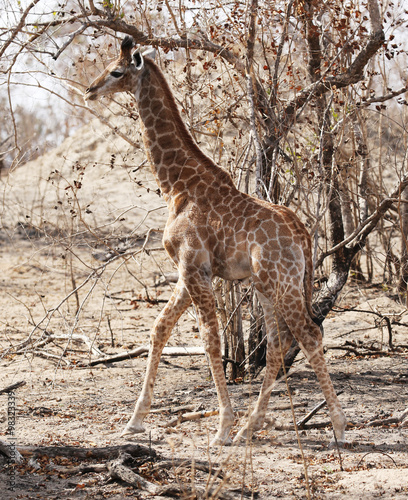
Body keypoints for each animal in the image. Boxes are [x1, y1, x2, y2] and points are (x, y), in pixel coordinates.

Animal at [84, 37, 346, 448]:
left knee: (308, 334)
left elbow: (211, 342)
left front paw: (221, 426)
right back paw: (250, 426)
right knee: (276, 346)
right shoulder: (186, 271)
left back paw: (337, 426)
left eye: (116, 70)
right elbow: (159, 328)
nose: (90, 90)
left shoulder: (195, 267)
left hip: (283, 283)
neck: (177, 186)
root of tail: (304, 235)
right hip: (267, 286)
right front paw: (135, 420)